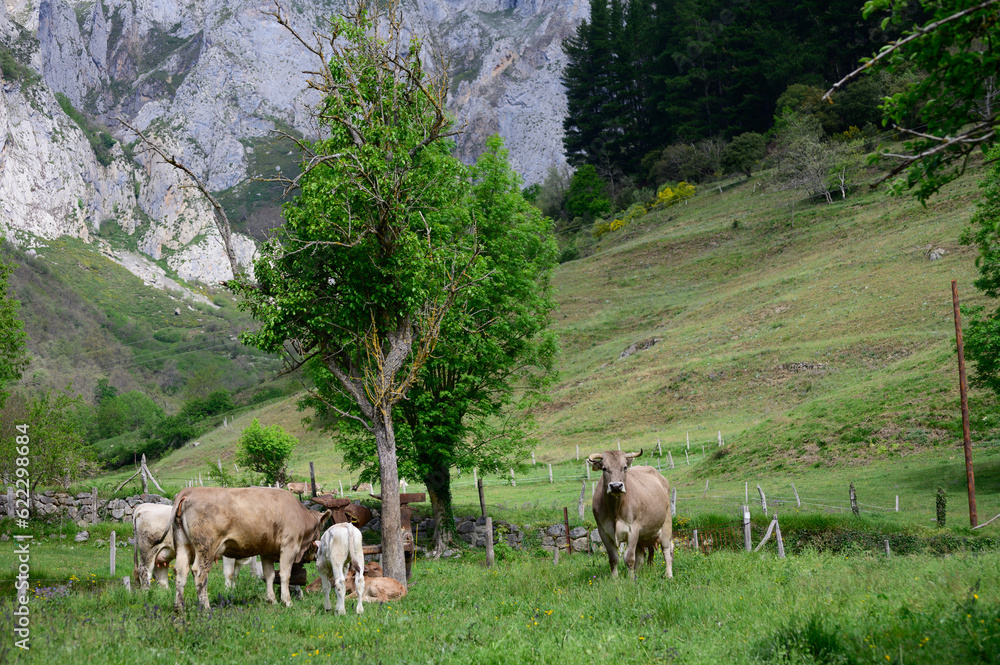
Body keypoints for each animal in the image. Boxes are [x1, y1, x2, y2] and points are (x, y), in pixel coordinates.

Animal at [166, 487, 332, 610]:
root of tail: (189, 491)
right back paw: (205, 607)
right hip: (206, 547)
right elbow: (285, 574)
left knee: (181, 571)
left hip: (183, 545)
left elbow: (269, 576)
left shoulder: (267, 551)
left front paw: (272, 600)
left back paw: (179, 607)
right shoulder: (289, 547)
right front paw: (287, 601)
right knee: (200, 573)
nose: (314, 555)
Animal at [588, 449, 673, 579]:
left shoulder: (633, 529)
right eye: (604, 468)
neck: (615, 511)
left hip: (666, 523)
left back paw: (668, 574)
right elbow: (613, 558)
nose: (616, 486)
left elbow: (629, 558)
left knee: (667, 550)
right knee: (641, 555)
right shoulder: (603, 531)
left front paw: (631, 579)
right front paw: (615, 579)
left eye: (624, 467)